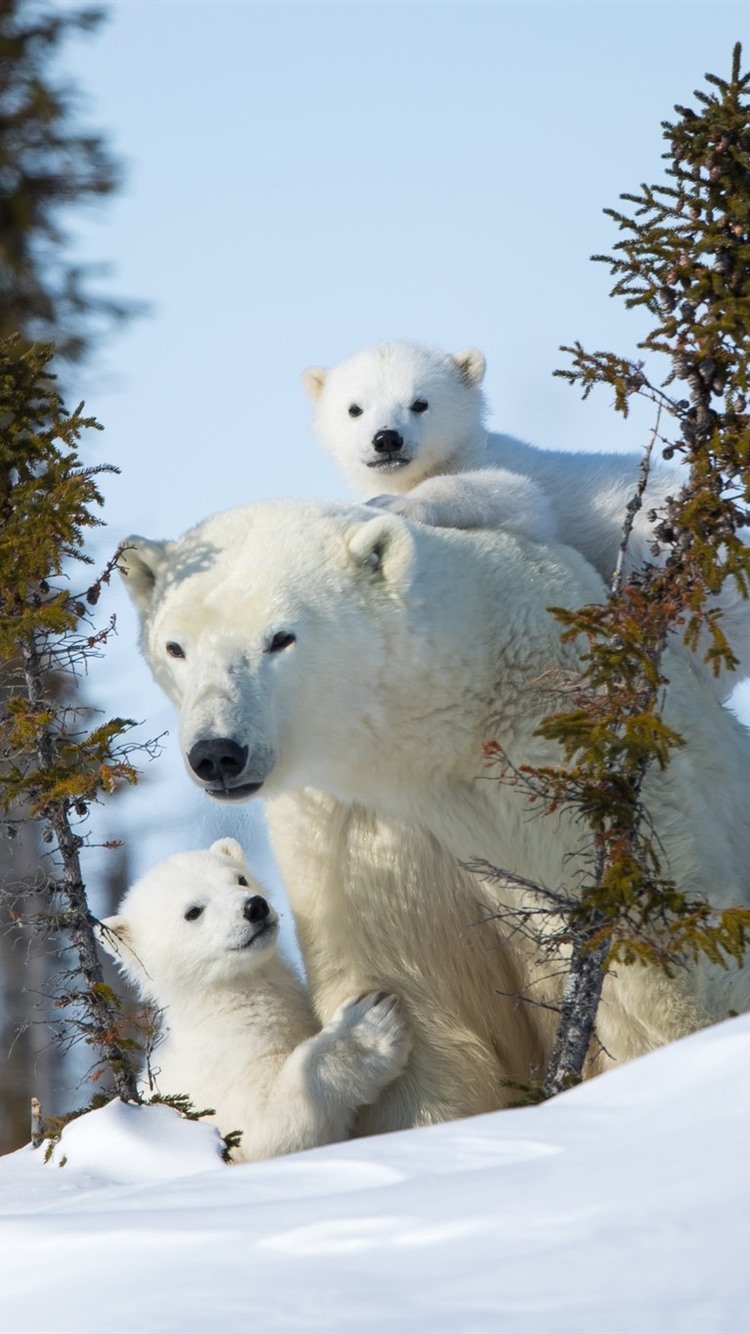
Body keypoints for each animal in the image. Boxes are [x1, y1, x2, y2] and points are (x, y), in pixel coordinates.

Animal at [98, 836, 412, 1161]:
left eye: (240, 878)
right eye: (193, 911)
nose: (254, 907)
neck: (226, 1012)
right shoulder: (223, 1078)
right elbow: (269, 1127)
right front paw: (369, 1023)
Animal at [119, 500, 750, 1133]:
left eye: (281, 638)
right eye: (175, 647)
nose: (217, 753)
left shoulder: (568, 768)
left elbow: (660, 968)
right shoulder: (358, 836)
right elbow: (419, 1009)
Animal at [302, 339, 750, 701]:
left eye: (420, 403)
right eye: (355, 408)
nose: (387, 439)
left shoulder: (507, 472)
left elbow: (518, 495)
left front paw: (395, 503)